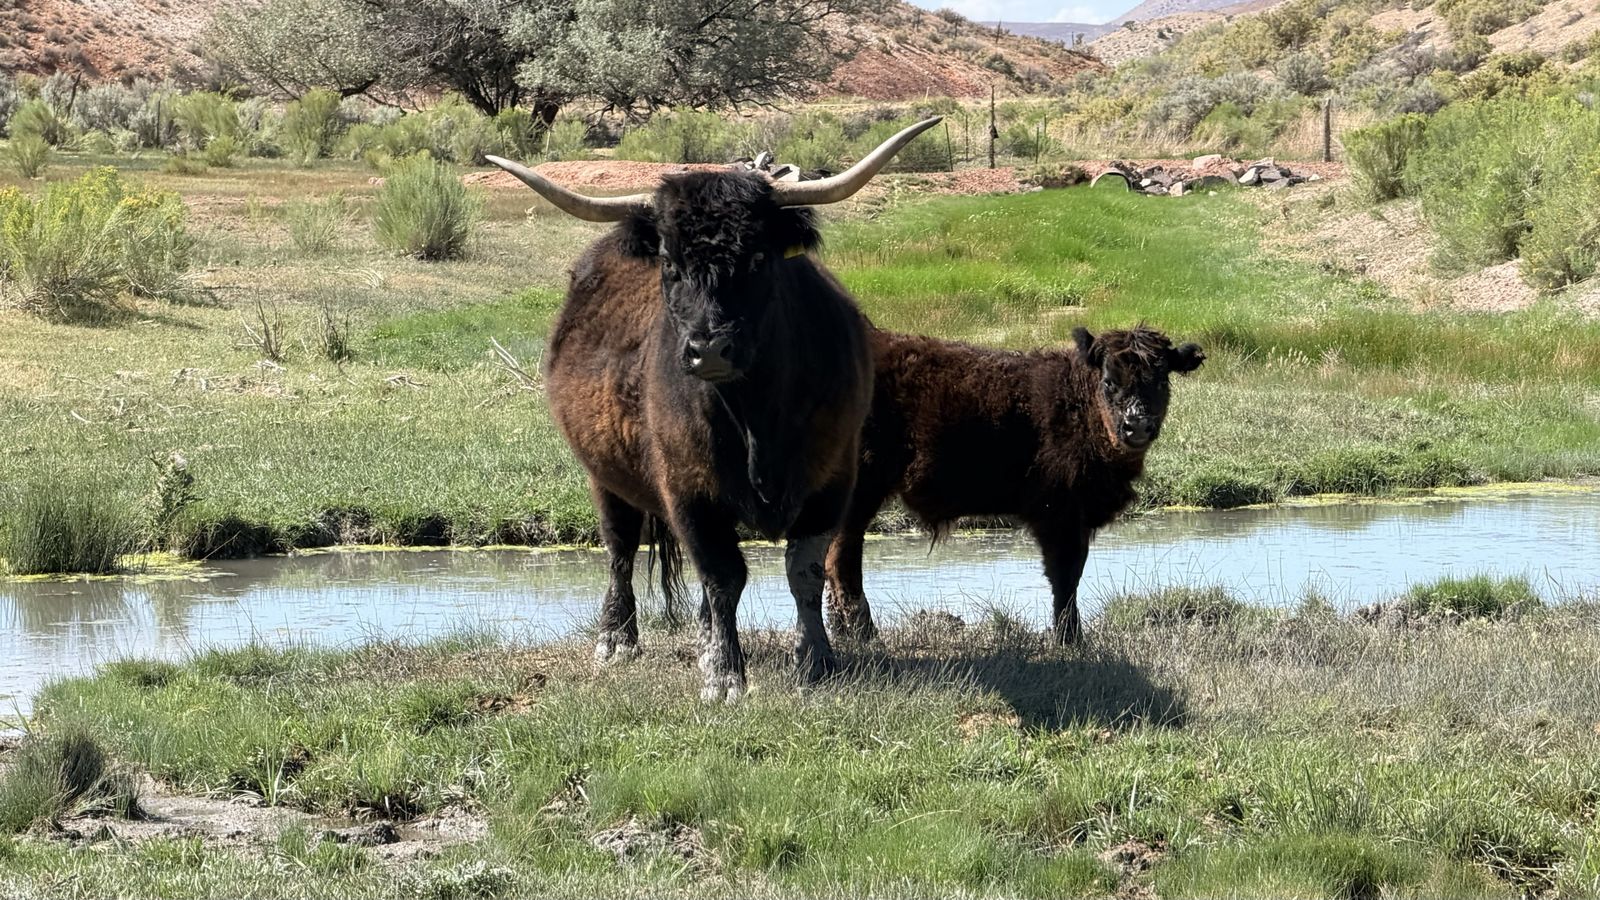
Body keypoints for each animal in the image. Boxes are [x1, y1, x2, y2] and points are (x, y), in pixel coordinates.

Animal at [485, 119, 940, 700]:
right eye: (670, 264)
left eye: (759, 258)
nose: (710, 349)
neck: (756, 419)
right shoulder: (689, 489)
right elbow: (723, 575)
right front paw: (725, 676)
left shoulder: (832, 478)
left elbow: (804, 569)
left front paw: (816, 661)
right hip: (604, 477)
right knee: (620, 550)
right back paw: (617, 639)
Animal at [824, 325, 1205, 645]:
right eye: (1110, 382)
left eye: (1162, 381)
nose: (1136, 425)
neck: (1078, 403)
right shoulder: (1060, 516)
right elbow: (1065, 576)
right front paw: (1070, 640)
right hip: (861, 492)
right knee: (843, 558)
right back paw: (864, 632)